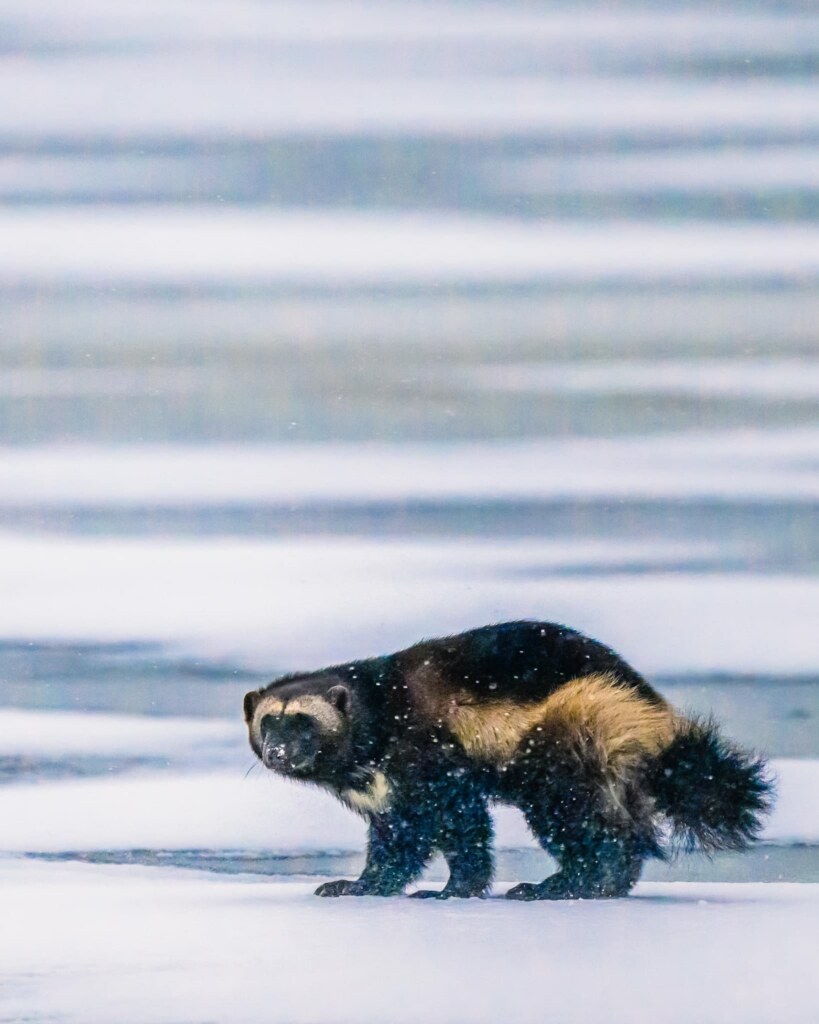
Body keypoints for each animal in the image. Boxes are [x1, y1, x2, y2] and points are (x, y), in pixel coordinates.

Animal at [243, 620, 772, 900]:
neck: (381, 713)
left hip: (570, 745)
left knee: (588, 824)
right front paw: (358, 885)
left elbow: (462, 827)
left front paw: (451, 890)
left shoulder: (431, 762)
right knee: (627, 827)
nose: (278, 752)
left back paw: (566, 884)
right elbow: (397, 841)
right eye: (269, 722)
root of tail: (651, 711)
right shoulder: (386, 792)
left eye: (303, 722)